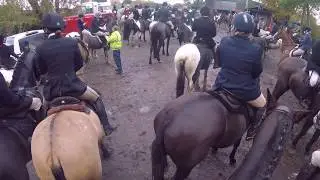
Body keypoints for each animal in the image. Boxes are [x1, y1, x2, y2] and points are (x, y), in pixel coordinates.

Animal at [152, 88, 292, 179]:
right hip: (185, 167)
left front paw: (215, 149)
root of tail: (168, 119)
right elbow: (236, 144)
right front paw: (232, 159)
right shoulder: (240, 132)